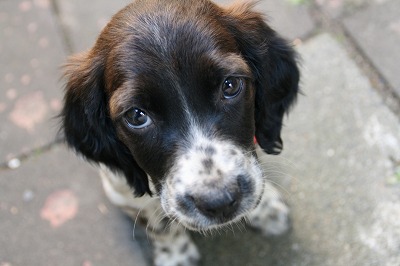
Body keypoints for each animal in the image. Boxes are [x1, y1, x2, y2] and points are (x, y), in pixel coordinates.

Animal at [60, 0, 296, 264]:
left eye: (230, 85)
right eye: (137, 116)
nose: (219, 202)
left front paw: (266, 209)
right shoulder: (122, 192)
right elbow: (159, 224)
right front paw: (176, 255)